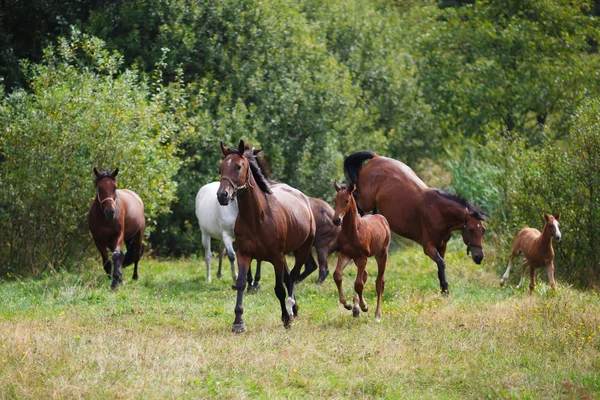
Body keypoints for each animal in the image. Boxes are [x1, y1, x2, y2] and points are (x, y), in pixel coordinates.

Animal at [217, 139, 318, 332]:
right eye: (221, 168)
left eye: (238, 166)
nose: (222, 195)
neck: (257, 217)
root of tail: (303, 199)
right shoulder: (244, 254)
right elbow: (241, 283)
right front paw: (238, 322)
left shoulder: (276, 257)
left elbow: (279, 288)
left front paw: (286, 319)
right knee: (289, 277)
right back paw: (294, 308)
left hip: (303, 248)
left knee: (293, 276)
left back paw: (291, 308)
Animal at [330, 181, 392, 322]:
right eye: (335, 200)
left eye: (346, 201)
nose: (336, 220)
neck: (353, 231)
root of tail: (381, 217)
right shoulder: (345, 254)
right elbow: (337, 275)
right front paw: (347, 304)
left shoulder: (363, 256)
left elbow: (358, 284)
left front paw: (365, 306)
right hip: (356, 259)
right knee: (365, 275)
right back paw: (355, 308)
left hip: (381, 254)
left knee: (379, 282)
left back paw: (377, 315)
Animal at [342, 152, 488, 296]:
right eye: (470, 229)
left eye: (483, 230)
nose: (479, 257)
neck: (438, 211)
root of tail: (375, 157)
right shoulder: (428, 247)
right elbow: (441, 263)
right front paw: (445, 290)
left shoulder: (442, 245)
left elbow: (441, 264)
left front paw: (443, 289)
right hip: (365, 200)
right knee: (355, 198)